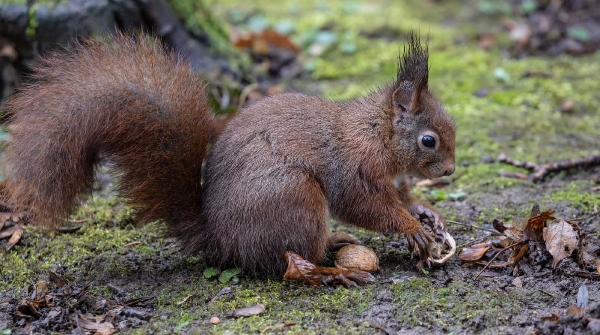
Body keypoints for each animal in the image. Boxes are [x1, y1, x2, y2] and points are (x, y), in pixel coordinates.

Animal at [2, 32, 458, 284]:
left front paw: (427, 213)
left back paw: (336, 244)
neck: (377, 133)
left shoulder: (394, 177)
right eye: (429, 140)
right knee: (291, 263)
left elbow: (403, 196)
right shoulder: (354, 167)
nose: (451, 172)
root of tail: (220, 241)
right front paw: (410, 227)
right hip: (293, 196)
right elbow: (364, 205)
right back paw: (336, 270)